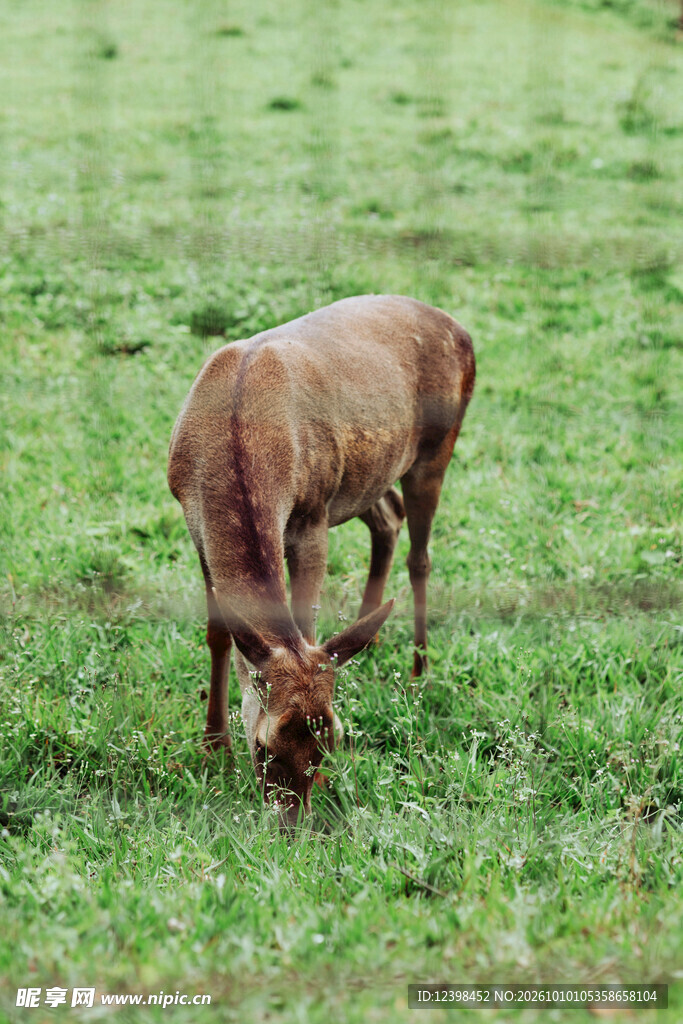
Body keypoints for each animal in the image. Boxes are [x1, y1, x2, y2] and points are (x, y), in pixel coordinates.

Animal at [167, 294, 475, 826]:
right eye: (261, 748)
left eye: (332, 743)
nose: (293, 827)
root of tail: (463, 332)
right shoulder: (195, 526)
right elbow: (219, 633)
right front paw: (212, 744)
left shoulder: (311, 515)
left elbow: (304, 621)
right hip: (365, 476)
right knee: (388, 518)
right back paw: (368, 636)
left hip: (437, 447)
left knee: (421, 557)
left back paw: (419, 671)